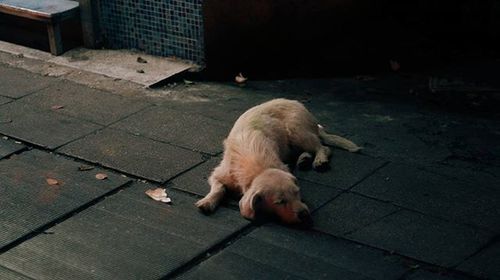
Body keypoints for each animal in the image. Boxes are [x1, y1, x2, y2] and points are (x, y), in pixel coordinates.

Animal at [194, 98, 360, 225]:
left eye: (297, 192)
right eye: (279, 202)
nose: (305, 215)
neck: (258, 168)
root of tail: (296, 102)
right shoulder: (218, 174)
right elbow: (219, 188)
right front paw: (207, 202)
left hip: (297, 130)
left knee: (323, 147)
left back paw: (319, 160)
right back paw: (304, 159)